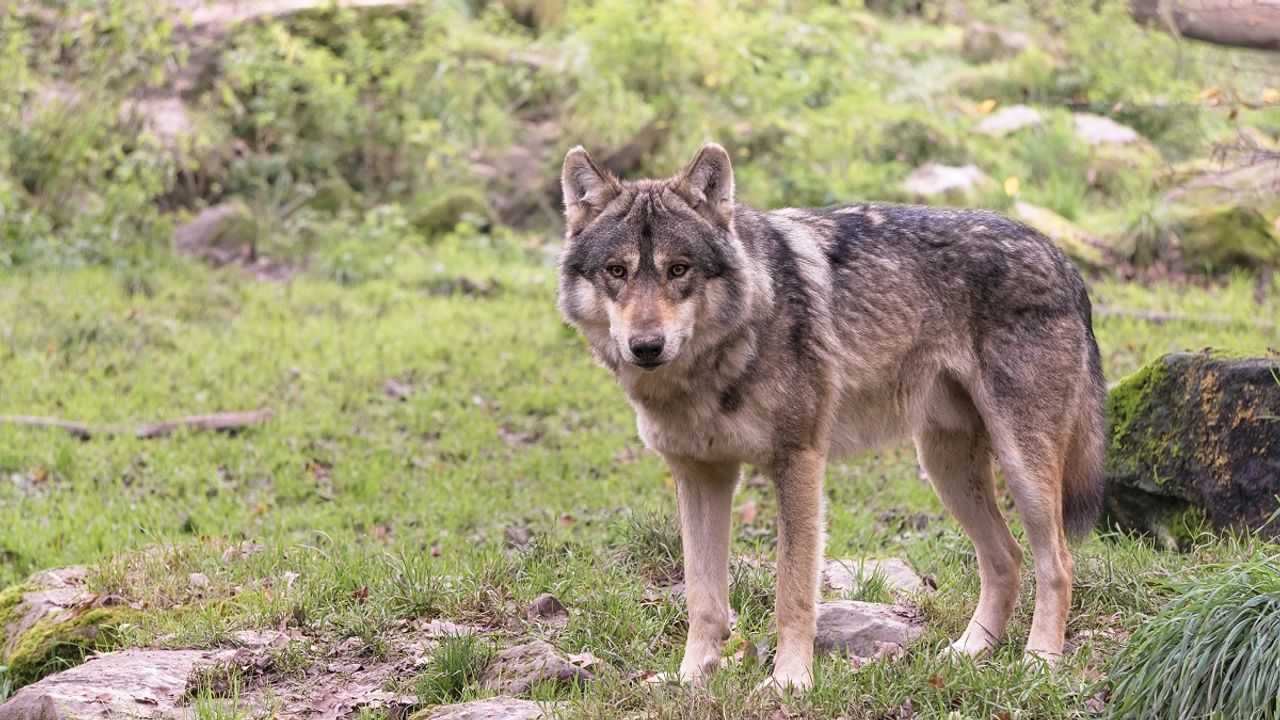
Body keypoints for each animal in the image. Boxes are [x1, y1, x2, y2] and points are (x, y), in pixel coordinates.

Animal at [556, 142, 1106, 690]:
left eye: (678, 269)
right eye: (617, 271)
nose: (646, 346)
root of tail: (1062, 257)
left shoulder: (798, 461)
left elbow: (793, 591)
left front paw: (789, 681)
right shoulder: (700, 475)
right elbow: (702, 598)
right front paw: (691, 679)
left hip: (1019, 465)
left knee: (1057, 562)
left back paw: (1040, 662)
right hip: (944, 468)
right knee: (1006, 558)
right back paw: (969, 652)